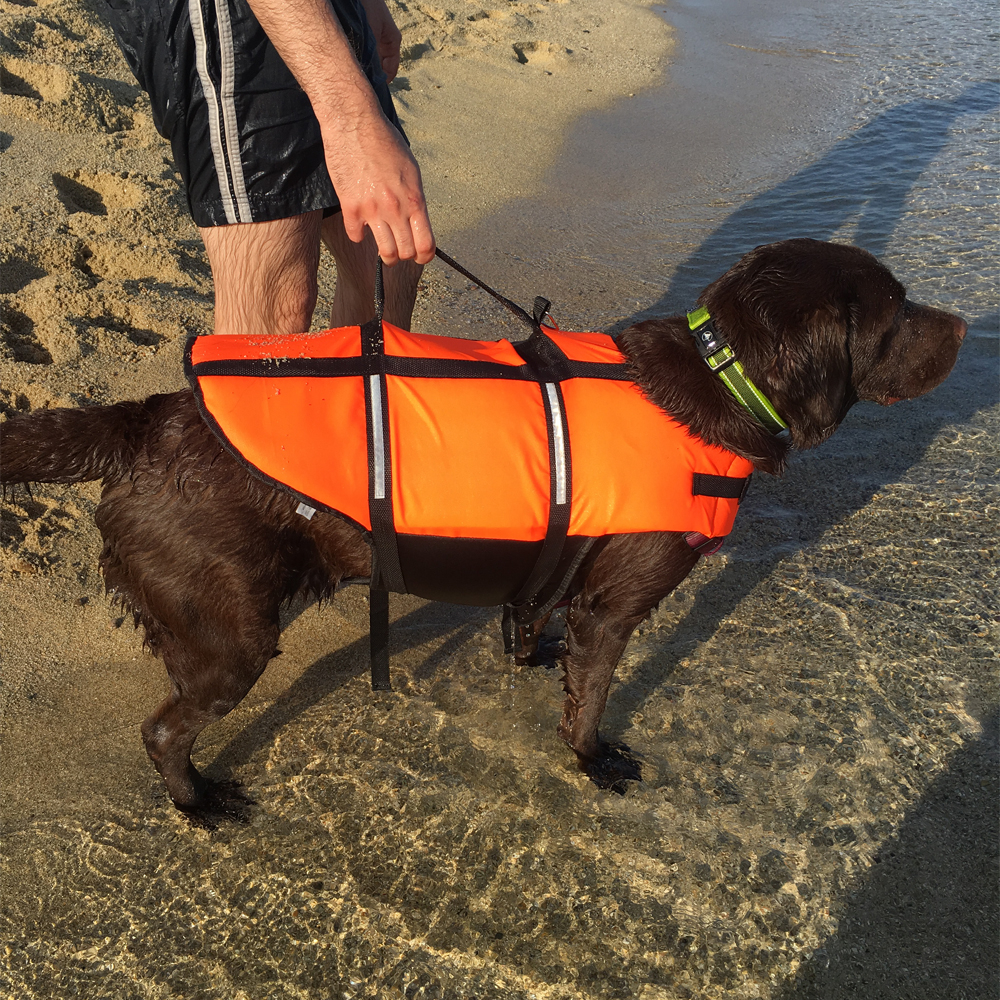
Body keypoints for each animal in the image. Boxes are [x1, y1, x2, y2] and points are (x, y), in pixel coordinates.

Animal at [3, 238, 964, 824]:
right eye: (899, 312)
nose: (963, 323)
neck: (720, 381)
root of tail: (148, 418)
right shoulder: (616, 607)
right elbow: (594, 697)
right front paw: (594, 761)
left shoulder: (552, 576)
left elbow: (532, 621)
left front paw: (531, 659)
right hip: (233, 630)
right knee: (166, 727)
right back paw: (197, 801)